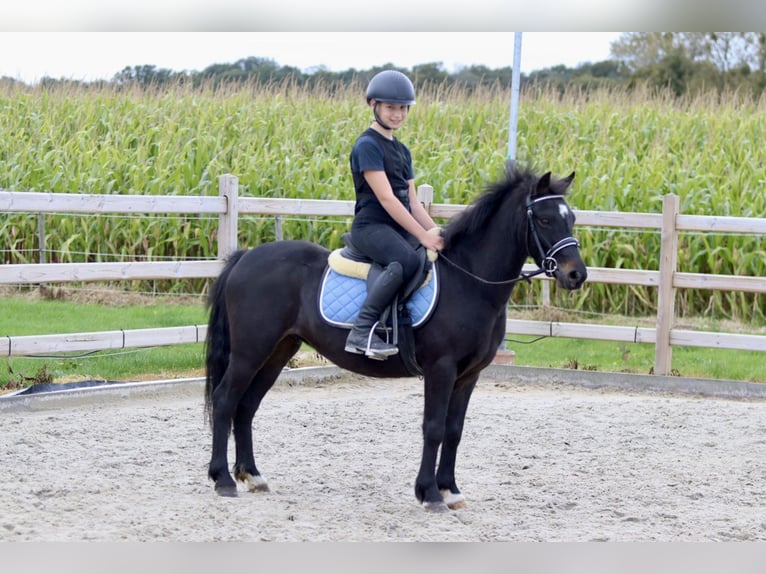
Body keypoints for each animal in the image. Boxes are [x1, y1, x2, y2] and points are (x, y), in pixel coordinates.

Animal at [202, 165, 588, 512]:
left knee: (247, 407)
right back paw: (223, 480)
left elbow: (454, 430)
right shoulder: (441, 369)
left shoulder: (469, 375)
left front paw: (451, 491)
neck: (470, 281)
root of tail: (245, 257)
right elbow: (433, 428)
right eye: (544, 220)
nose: (577, 275)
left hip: (278, 351)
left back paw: (253, 476)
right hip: (250, 351)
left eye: (570, 218)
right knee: (225, 400)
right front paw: (430, 495)